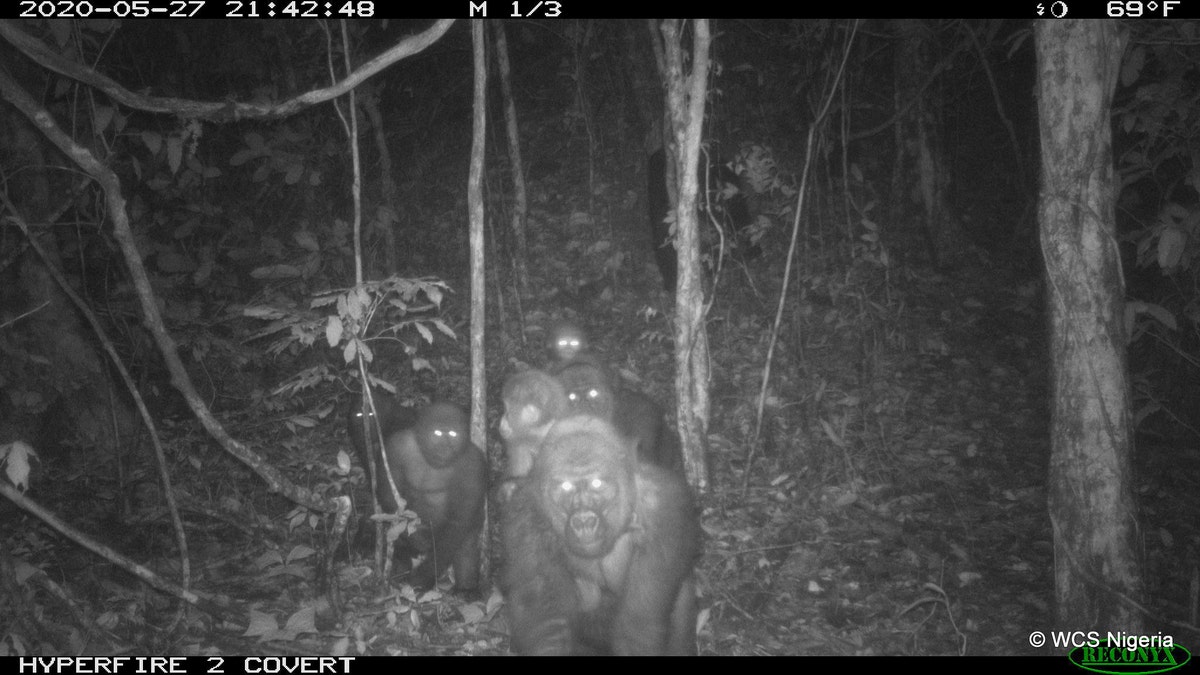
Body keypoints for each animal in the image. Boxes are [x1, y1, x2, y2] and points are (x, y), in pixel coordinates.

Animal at [499, 415, 700, 653]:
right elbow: (548, 623)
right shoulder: (525, 515)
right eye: (565, 486)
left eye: (597, 483)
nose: (584, 520)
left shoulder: (665, 510)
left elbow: (638, 626)